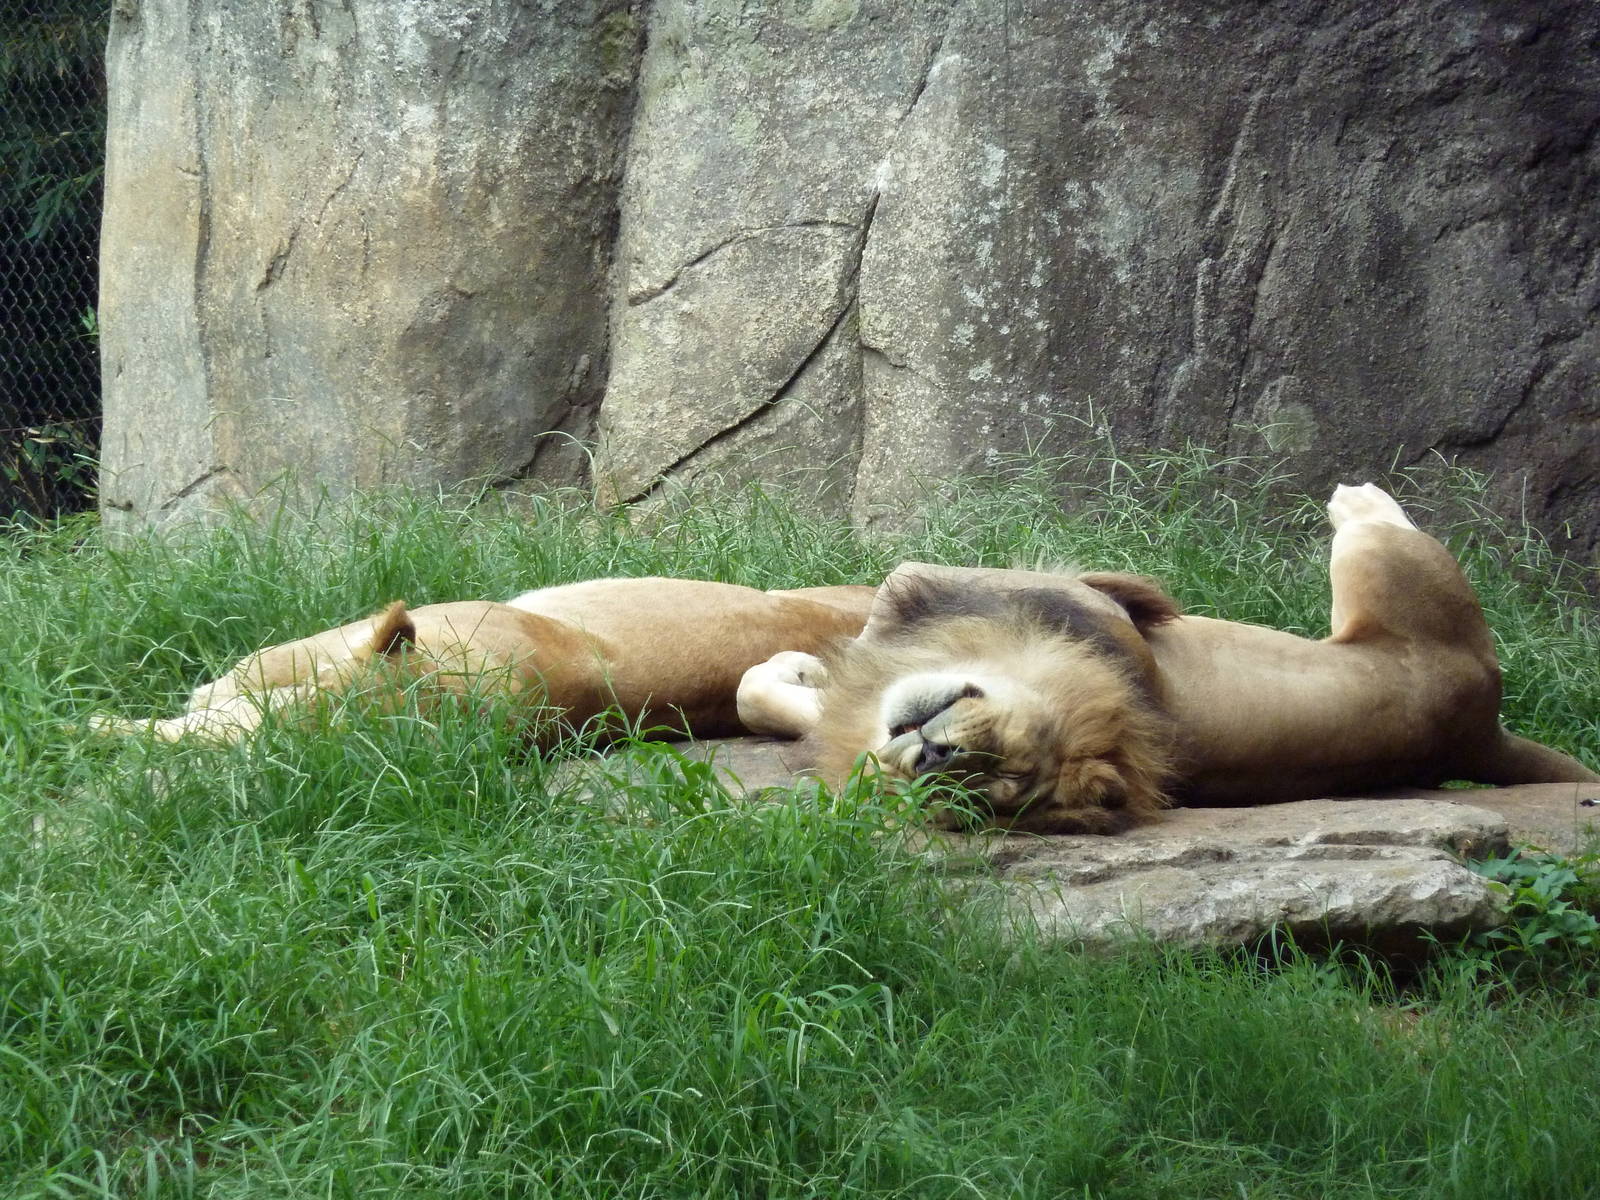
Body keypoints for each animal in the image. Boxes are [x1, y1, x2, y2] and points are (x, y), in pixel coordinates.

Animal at [736, 484, 1599, 834]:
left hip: (1386, 570)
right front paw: (802, 673)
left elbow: (892, 595)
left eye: (1009, 767)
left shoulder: (1096, 615)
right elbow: (767, 689)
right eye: (961, 790)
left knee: (1379, 527)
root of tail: (1478, 739)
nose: (935, 754)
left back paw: (1356, 496)